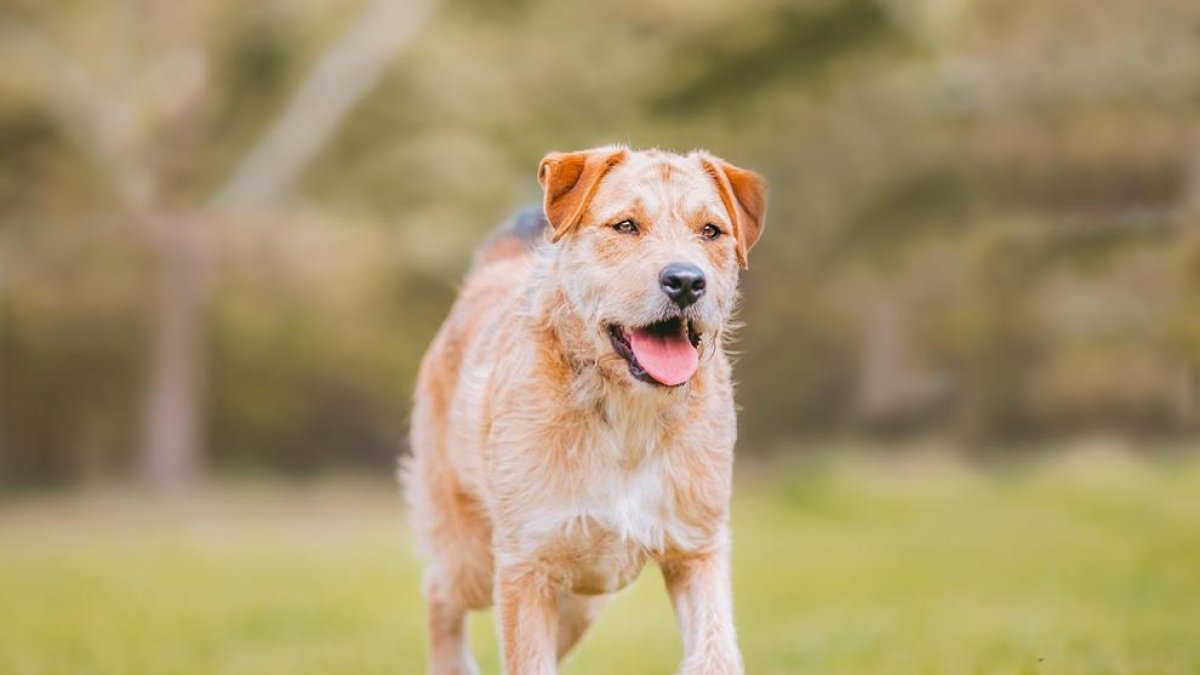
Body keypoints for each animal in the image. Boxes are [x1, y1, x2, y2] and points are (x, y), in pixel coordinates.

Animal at [405, 144, 768, 667]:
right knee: (438, 591)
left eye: (711, 231)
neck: (628, 413)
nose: (686, 281)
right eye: (626, 226)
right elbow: (527, 661)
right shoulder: (526, 564)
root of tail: (492, 270)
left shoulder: (697, 549)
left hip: (581, 598)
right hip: (470, 558)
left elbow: (715, 653)